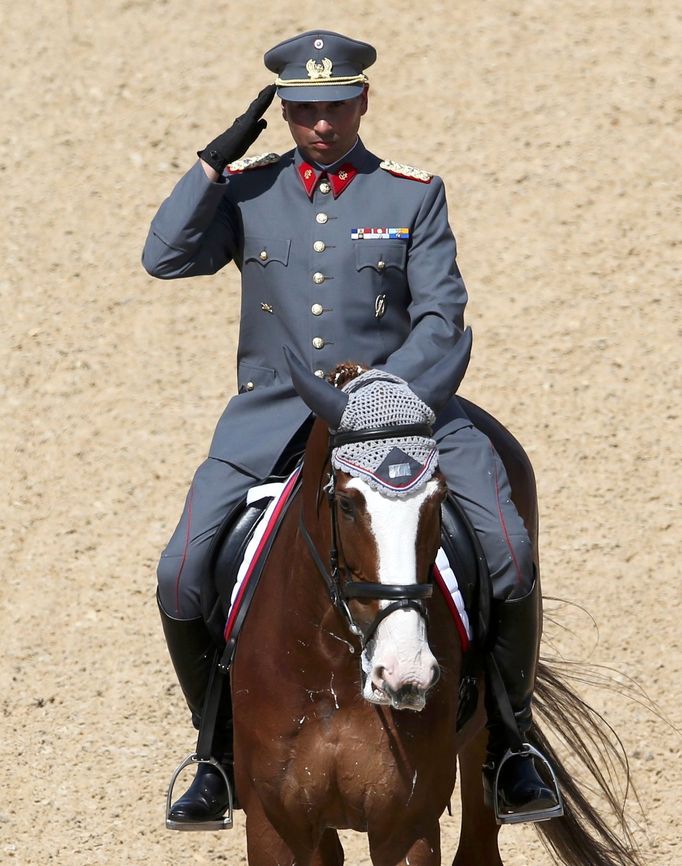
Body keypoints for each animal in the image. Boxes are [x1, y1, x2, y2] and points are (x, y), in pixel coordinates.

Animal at [228, 340, 636, 860]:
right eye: (347, 504)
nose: (406, 673)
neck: (330, 666)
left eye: (439, 498)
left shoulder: (408, 826)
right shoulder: (273, 826)